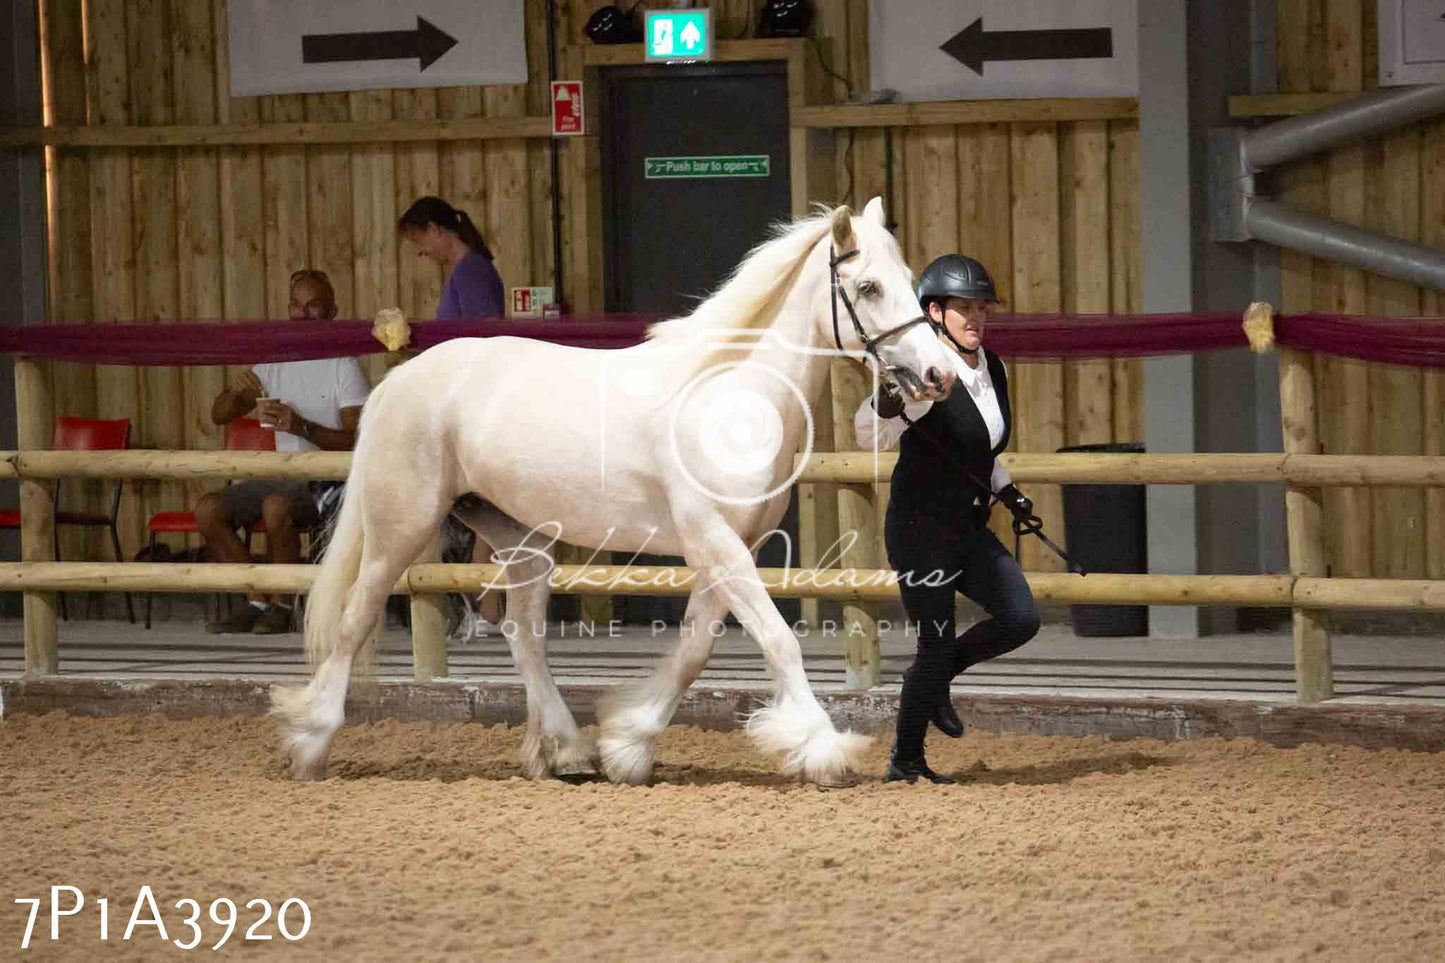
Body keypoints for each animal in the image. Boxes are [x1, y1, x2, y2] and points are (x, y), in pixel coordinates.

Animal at [271, 197, 959, 787]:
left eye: (907, 277)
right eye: (868, 287)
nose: (938, 375)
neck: (727, 392)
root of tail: (397, 383)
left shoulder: (728, 546)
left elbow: (693, 650)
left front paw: (630, 745)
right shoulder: (717, 542)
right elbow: (779, 641)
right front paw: (823, 750)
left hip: (523, 541)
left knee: (525, 637)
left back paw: (566, 751)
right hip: (401, 528)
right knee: (356, 619)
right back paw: (310, 741)